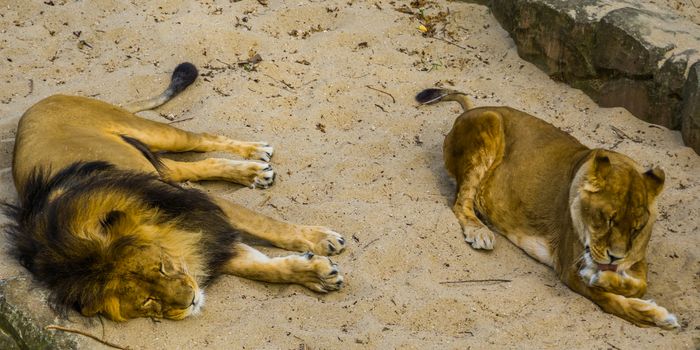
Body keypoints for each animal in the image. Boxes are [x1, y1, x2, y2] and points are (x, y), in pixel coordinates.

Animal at [2, 62, 348, 320]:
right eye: (147, 301)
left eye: (163, 267)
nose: (191, 300)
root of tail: (37, 105)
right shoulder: (202, 243)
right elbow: (263, 269)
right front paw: (316, 274)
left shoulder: (201, 211)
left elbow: (270, 226)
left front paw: (321, 240)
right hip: (152, 165)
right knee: (193, 166)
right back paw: (252, 172)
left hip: (156, 135)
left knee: (204, 139)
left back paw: (255, 153)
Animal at [416, 87, 680, 328]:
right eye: (606, 219)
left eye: (637, 229)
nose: (614, 258)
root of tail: (473, 109)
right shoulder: (569, 268)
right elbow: (609, 300)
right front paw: (659, 316)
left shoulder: (635, 260)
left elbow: (639, 285)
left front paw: (605, 277)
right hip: (489, 123)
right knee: (461, 202)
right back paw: (479, 231)